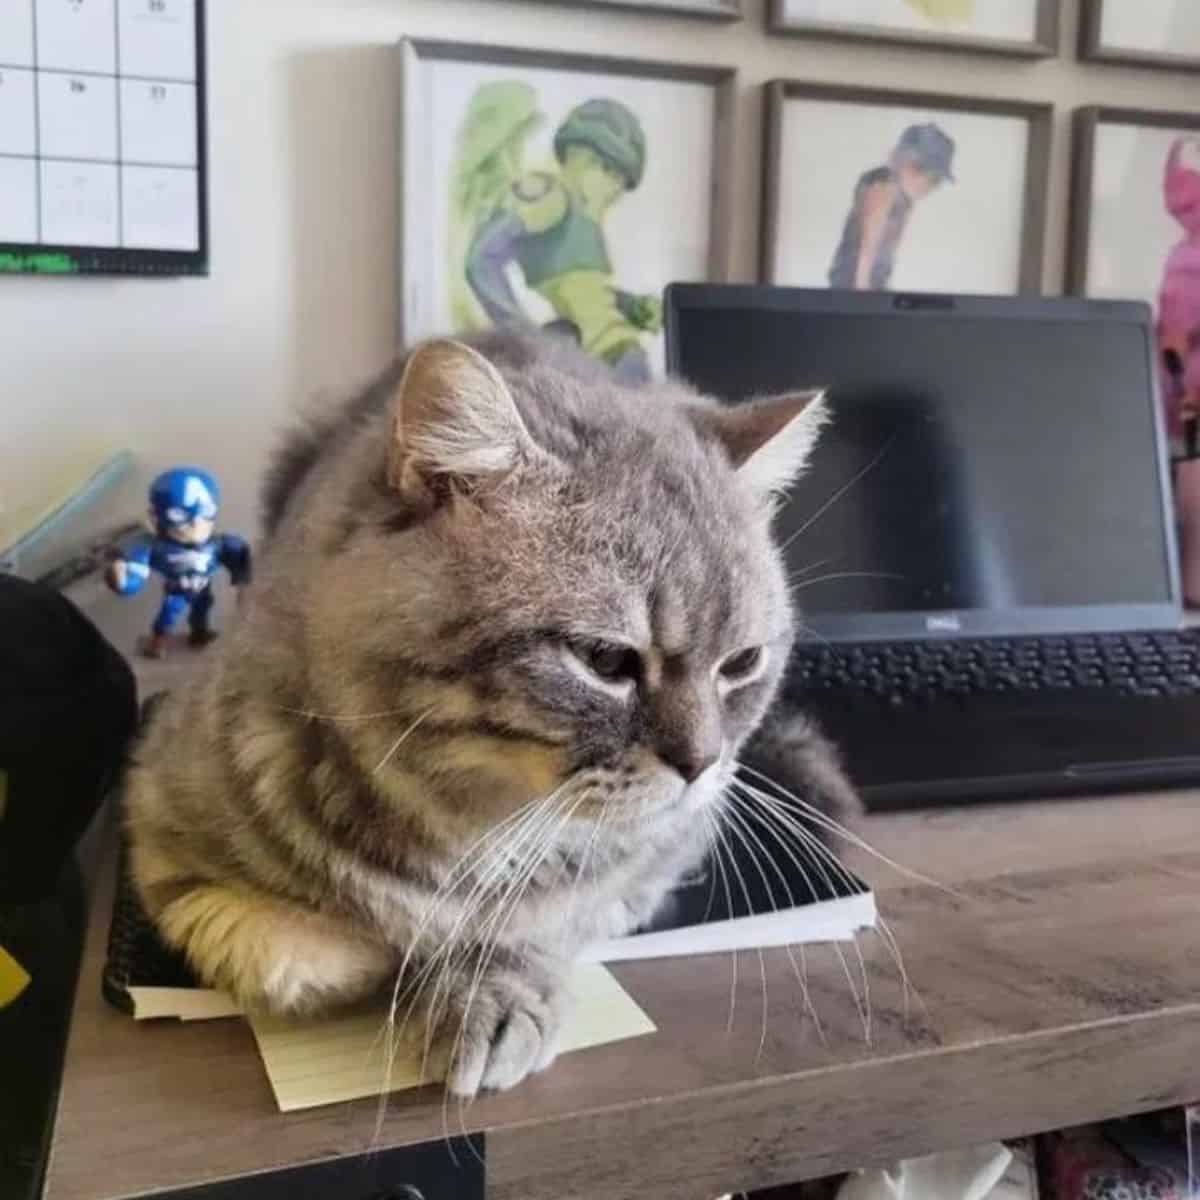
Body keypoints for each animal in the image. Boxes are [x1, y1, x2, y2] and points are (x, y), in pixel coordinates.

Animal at [124, 331, 854, 1099]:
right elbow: (283, 955)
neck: (466, 817)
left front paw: (484, 981)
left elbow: (553, 913)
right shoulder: (158, 829)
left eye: (741, 663)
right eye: (605, 660)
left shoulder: (661, 850)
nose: (702, 763)